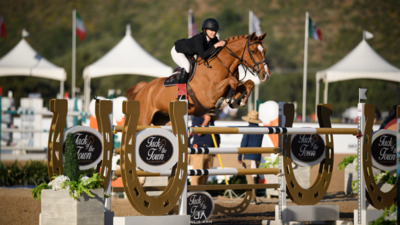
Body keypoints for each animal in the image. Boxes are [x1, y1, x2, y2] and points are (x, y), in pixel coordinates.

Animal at [126, 32, 270, 125]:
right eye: (253, 51)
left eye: (264, 51)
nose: (266, 75)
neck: (220, 65)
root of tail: (143, 89)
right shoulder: (209, 95)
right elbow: (232, 81)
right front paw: (226, 100)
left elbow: (248, 83)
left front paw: (238, 101)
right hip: (143, 119)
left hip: (163, 119)